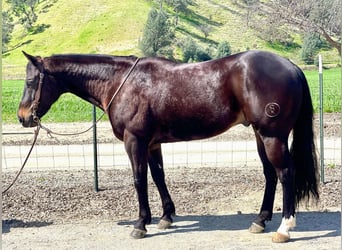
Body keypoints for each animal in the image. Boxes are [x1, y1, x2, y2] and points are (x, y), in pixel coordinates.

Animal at [17, 50, 320, 242]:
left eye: (31, 81)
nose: (22, 117)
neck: (121, 82)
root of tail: (291, 66)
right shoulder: (152, 144)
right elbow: (159, 177)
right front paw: (165, 216)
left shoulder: (135, 141)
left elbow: (139, 179)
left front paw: (140, 224)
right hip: (260, 135)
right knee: (270, 175)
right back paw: (260, 221)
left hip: (272, 137)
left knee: (286, 174)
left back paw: (284, 228)